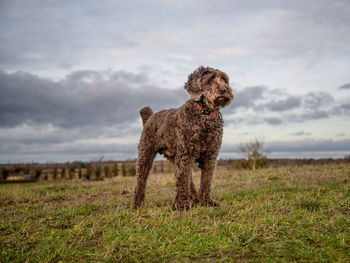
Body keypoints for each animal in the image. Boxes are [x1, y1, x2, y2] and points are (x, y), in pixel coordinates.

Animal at [133, 66, 234, 210]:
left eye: (225, 80)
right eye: (209, 80)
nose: (224, 90)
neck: (205, 115)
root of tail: (150, 117)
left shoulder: (210, 156)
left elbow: (206, 180)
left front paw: (206, 201)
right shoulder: (186, 154)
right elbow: (182, 180)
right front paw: (181, 205)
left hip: (175, 157)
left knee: (188, 179)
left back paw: (196, 198)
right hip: (146, 154)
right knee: (141, 180)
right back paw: (137, 204)